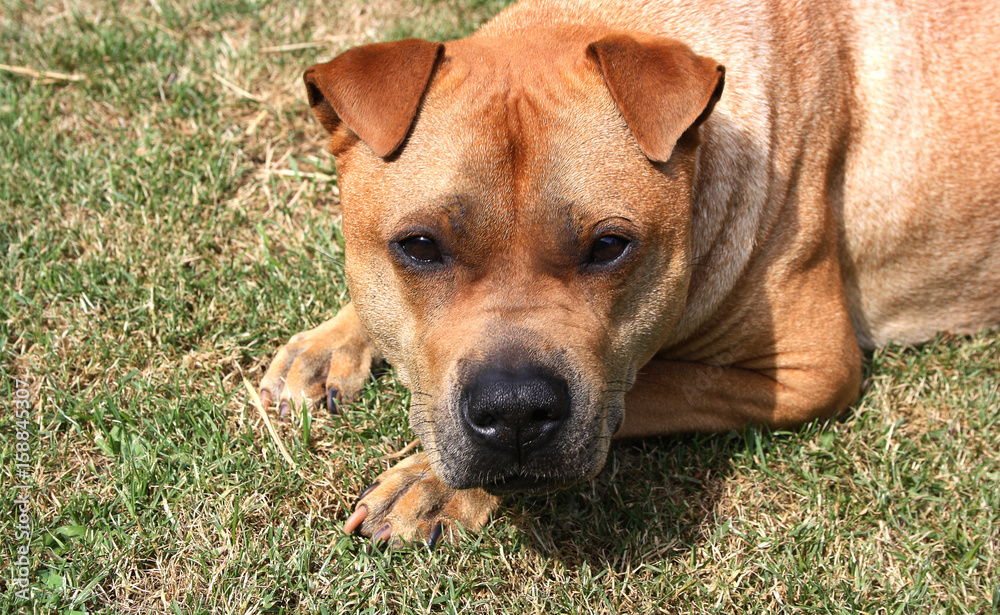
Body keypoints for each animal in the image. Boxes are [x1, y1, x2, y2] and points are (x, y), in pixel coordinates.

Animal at [260, 0, 1000, 548]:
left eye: (610, 246)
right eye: (418, 245)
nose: (515, 410)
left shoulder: (815, 369)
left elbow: (650, 384)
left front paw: (433, 482)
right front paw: (327, 345)